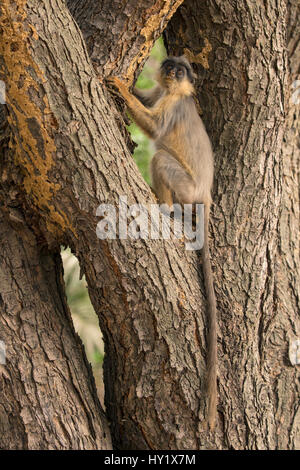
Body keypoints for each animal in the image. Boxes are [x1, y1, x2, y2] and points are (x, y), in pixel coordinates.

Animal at [109, 55, 217, 430]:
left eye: (180, 71)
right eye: (169, 64)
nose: (171, 70)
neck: (174, 91)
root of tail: (205, 194)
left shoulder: (174, 104)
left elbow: (157, 130)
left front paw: (121, 87)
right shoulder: (161, 93)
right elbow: (149, 96)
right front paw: (131, 84)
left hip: (184, 186)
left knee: (159, 157)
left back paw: (164, 207)